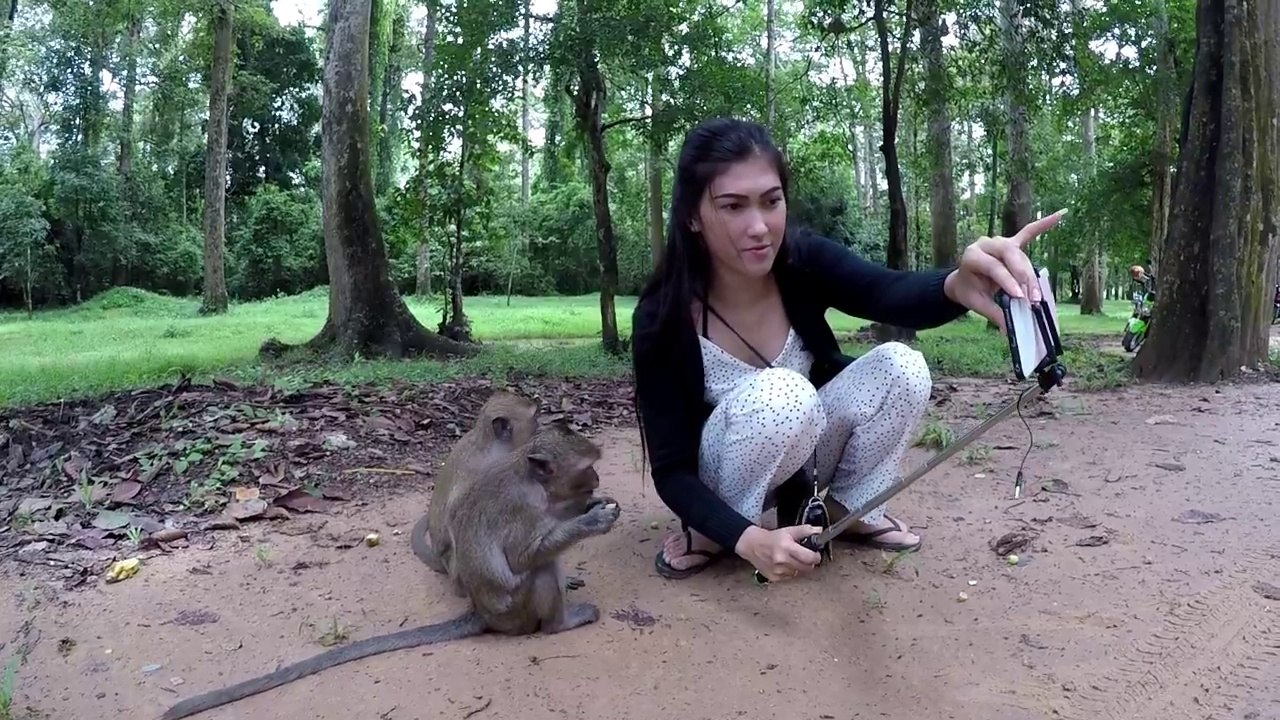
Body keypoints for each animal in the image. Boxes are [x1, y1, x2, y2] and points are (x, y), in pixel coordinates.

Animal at [159, 420, 620, 720]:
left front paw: (594, 507)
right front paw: (592, 521)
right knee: (540, 571)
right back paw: (561, 622)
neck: (531, 478)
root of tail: (480, 612)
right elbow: (522, 558)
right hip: (515, 612)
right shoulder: (523, 509)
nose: (597, 479)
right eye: (585, 469)